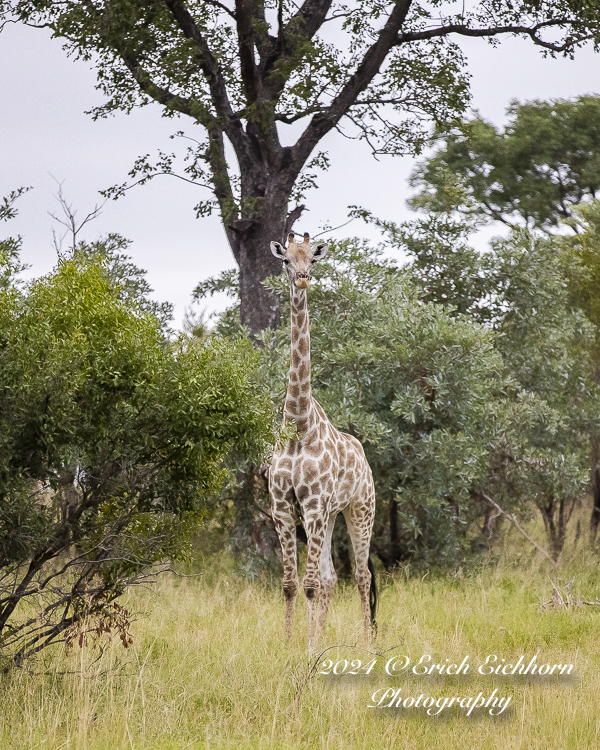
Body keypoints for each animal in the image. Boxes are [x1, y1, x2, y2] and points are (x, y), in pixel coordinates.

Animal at [270, 231, 378, 652]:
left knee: (362, 575)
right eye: (286, 260)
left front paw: (310, 649)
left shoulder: (314, 506)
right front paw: (288, 645)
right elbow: (290, 583)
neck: (298, 425)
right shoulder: (284, 507)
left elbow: (311, 584)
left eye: (312, 260)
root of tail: (364, 457)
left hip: (360, 509)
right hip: (332, 514)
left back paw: (368, 644)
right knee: (333, 577)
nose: (302, 279)